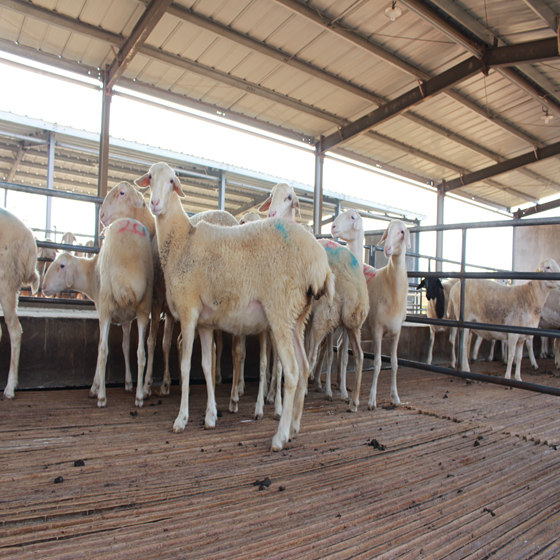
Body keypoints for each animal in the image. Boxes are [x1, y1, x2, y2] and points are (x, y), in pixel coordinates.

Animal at [43, 218, 153, 406]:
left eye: (61, 265)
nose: (43, 287)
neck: (89, 274)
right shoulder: (127, 319)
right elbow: (126, 347)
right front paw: (128, 383)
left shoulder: (103, 313)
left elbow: (101, 346)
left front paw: (95, 387)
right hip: (143, 309)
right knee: (141, 353)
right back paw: (139, 396)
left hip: (107, 306)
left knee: (103, 350)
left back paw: (102, 397)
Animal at [136, 162, 334, 450]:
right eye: (150, 177)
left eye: (172, 180)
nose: (155, 203)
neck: (181, 240)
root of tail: (319, 263)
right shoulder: (205, 323)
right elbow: (207, 366)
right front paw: (210, 416)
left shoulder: (188, 312)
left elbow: (185, 366)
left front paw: (181, 419)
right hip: (297, 316)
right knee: (305, 366)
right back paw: (295, 427)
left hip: (280, 310)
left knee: (293, 372)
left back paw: (280, 436)